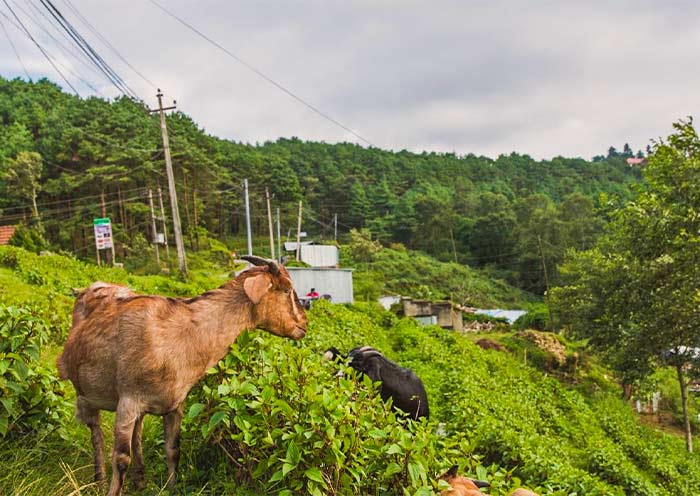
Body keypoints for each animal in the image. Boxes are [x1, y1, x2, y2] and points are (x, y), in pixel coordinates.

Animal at [54, 258, 306, 494]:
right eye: (286, 289)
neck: (182, 335)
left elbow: (173, 449)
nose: (304, 323)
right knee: (96, 431)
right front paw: (114, 490)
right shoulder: (127, 400)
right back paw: (100, 480)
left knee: (137, 432)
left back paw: (140, 481)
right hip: (86, 393)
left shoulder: (176, 403)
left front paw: (172, 487)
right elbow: (121, 457)